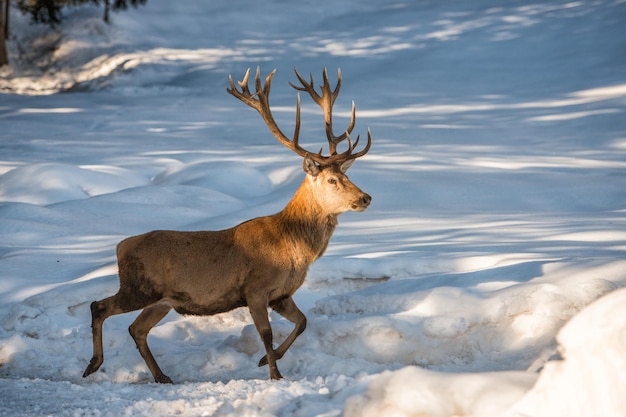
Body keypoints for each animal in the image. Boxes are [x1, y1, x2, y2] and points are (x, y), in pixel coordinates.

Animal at [81, 66, 370, 382]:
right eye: (332, 180)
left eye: (348, 176)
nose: (365, 198)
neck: (293, 247)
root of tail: (121, 247)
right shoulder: (255, 289)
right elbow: (266, 333)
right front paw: (275, 374)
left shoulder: (281, 294)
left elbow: (303, 321)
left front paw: (265, 362)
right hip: (138, 287)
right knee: (99, 306)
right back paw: (93, 364)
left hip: (162, 300)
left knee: (137, 328)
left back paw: (161, 376)